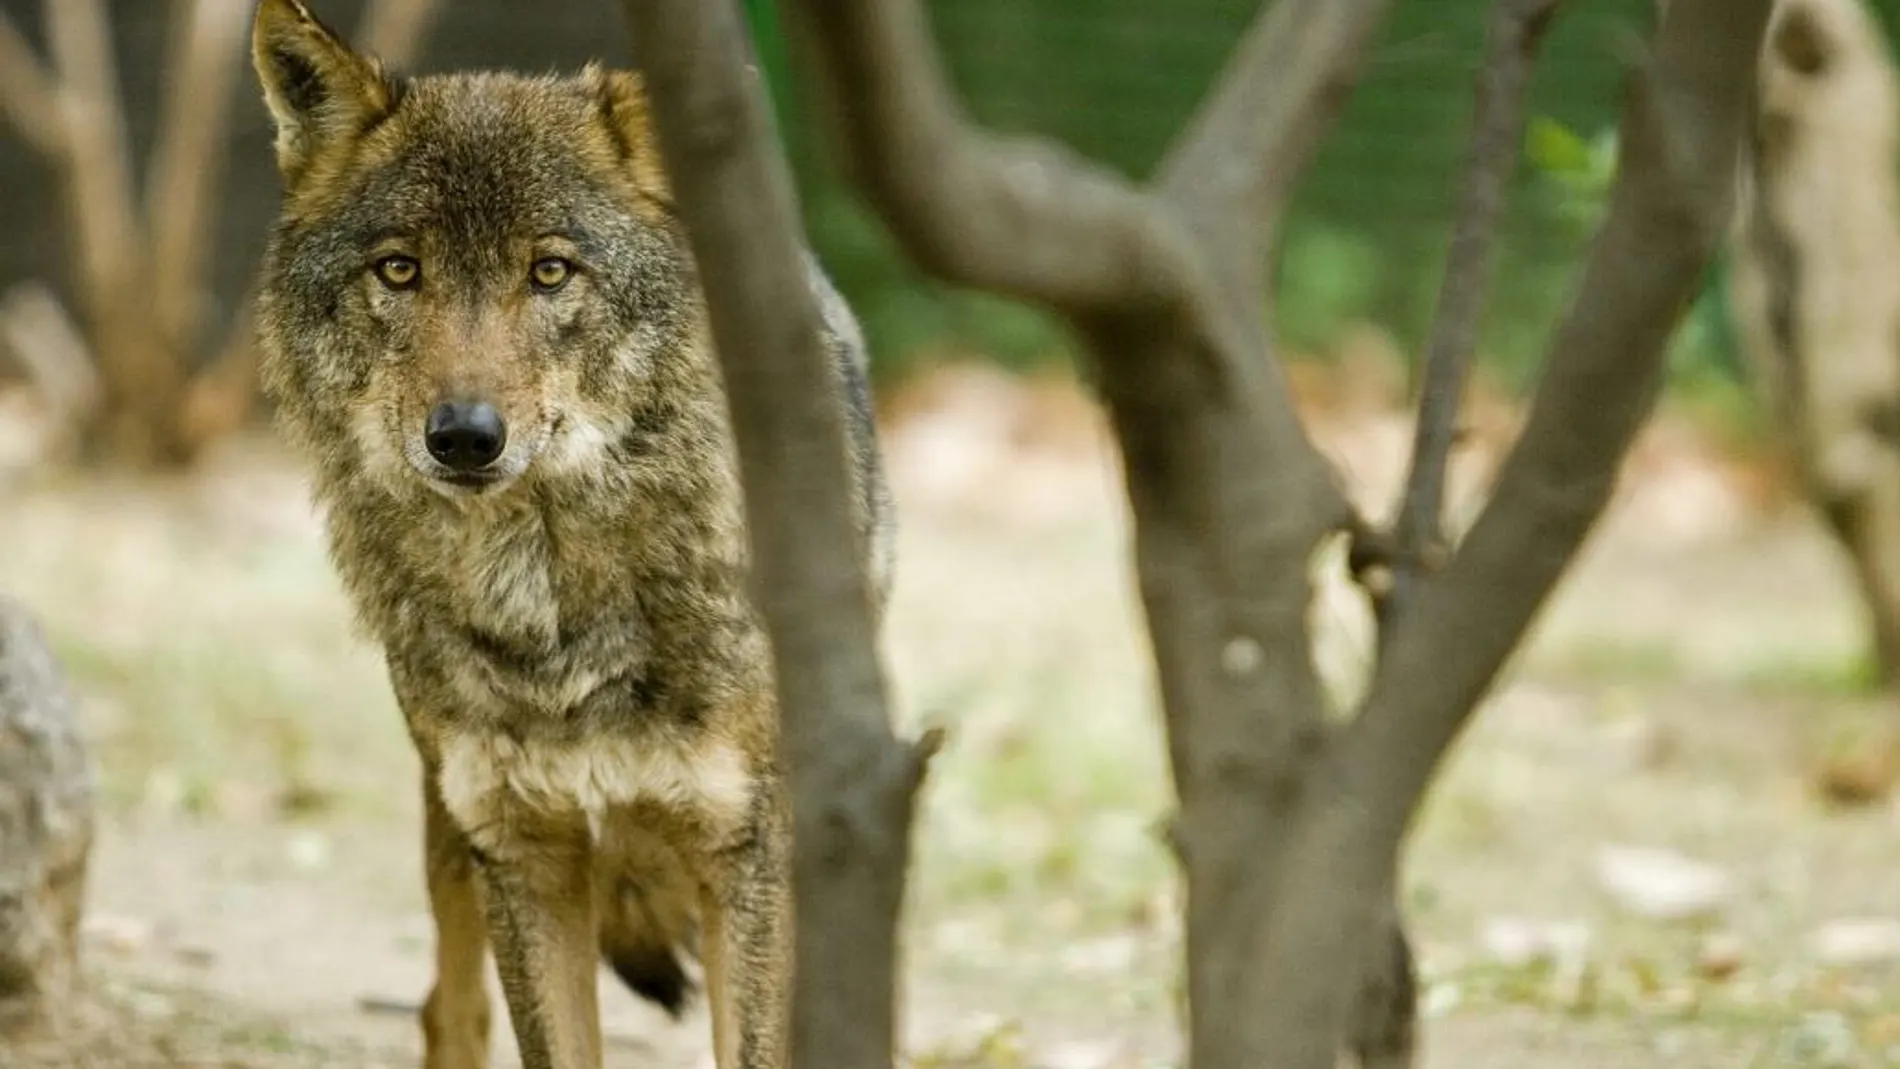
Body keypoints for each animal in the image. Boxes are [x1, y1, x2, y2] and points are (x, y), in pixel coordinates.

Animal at [246, 2, 893, 1067]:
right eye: (399, 270)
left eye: (550, 272)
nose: (465, 436)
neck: (546, 611)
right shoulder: (521, 847)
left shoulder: (747, 851)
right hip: (450, 828)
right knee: (447, 1009)